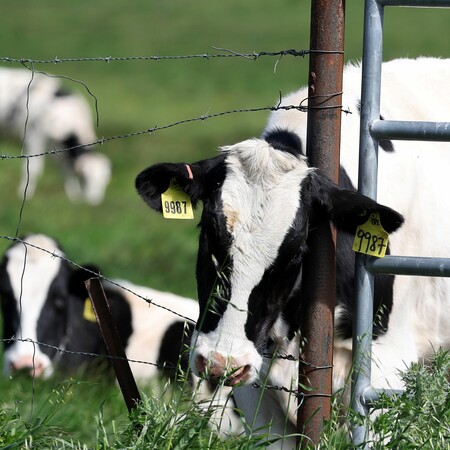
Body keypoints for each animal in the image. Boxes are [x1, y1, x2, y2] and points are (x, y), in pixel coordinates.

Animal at [0, 66, 111, 204]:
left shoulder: (59, 150)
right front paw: (24, 194)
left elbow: (66, 170)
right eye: (85, 178)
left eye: (105, 181)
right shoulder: (34, 137)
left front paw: (74, 196)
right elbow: (33, 169)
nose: (94, 201)